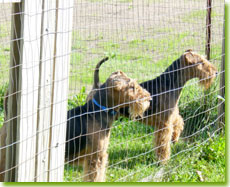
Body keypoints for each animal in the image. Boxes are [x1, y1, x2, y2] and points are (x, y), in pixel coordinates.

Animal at [86, 49, 217, 164]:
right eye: (200, 62)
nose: (215, 72)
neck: (170, 84)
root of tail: (97, 85)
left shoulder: (171, 115)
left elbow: (179, 121)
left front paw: (175, 138)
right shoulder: (164, 123)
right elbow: (163, 143)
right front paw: (163, 161)